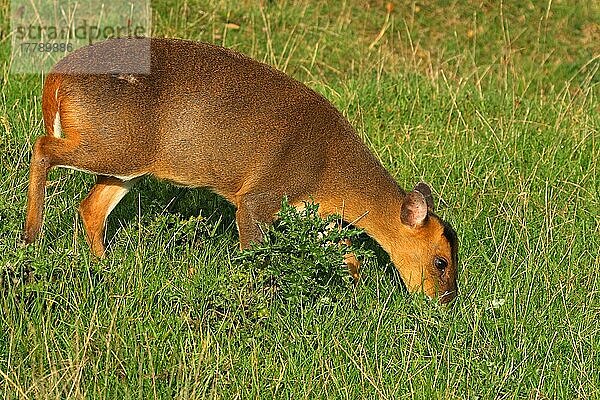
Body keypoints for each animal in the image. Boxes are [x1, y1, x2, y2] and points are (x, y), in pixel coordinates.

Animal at [21, 39, 458, 304]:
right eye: (442, 262)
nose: (446, 301)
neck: (329, 172)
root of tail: (55, 78)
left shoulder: (310, 212)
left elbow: (349, 256)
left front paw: (350, 298)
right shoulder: (259, 196)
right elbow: (256, 256)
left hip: (127, 161)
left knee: (90, 208)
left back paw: (104, 267)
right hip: (116, 144)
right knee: (42, 149)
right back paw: (30, 236)